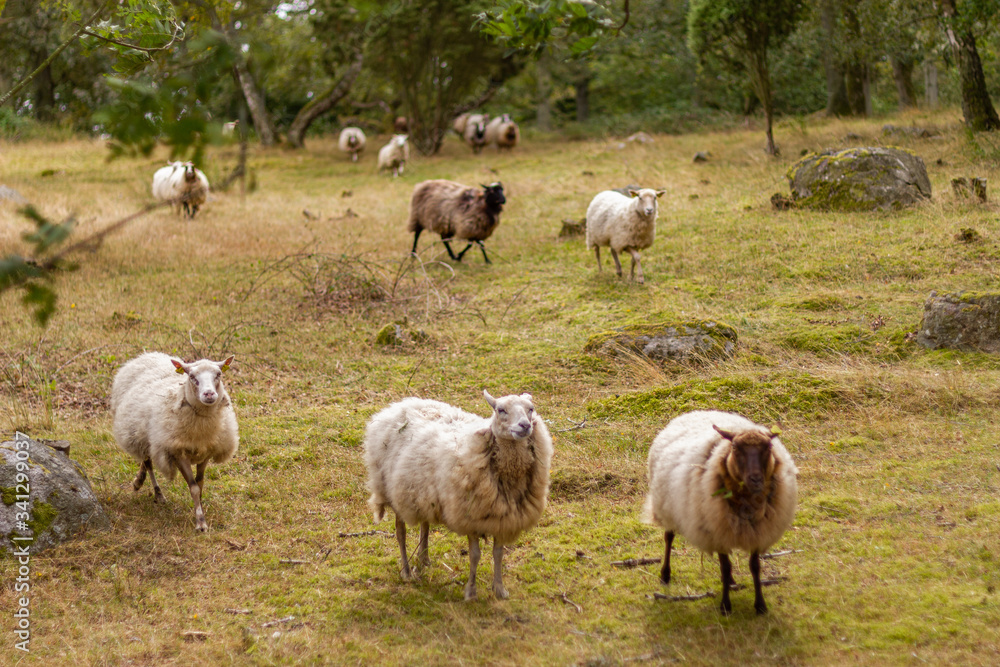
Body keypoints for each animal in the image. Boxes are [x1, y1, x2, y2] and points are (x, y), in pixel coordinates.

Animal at [110, 352, 239, 532]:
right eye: (192, 377)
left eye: (218, 374)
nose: (209, 394)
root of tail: (146, 354)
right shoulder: (178, 453)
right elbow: (193, 487)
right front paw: (200, 522)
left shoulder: (206, 453)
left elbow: (200, 484)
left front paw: (200, 507)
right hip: (140, 433)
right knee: (148, 462)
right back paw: (156, 493)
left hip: (149, 436)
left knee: (147, 457)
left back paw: (139, 481)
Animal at [363, 390, 553, 601]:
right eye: (501, 410)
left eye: (531, 409)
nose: (525, 426)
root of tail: (398, 406)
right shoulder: (470, 517)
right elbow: (475, 555)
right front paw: (471, 592)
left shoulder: (502, 518)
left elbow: (498, 553)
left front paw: (500, 589)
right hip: (392, 491)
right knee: (400, 531)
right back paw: (406, 571)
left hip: (424, 493)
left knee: (425, 526)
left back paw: (423, 559)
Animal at [644, 410, 798, 615]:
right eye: (734, 447)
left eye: (769, 447)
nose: (756, 479)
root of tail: (697, 411)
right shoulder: (717, 530)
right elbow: (725, 567)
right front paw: (725, 606)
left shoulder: (757, 531)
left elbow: (754, 566)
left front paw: (760, 605)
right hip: (667, 507)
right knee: (668, 538)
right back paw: (665, 575)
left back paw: (732, 582)